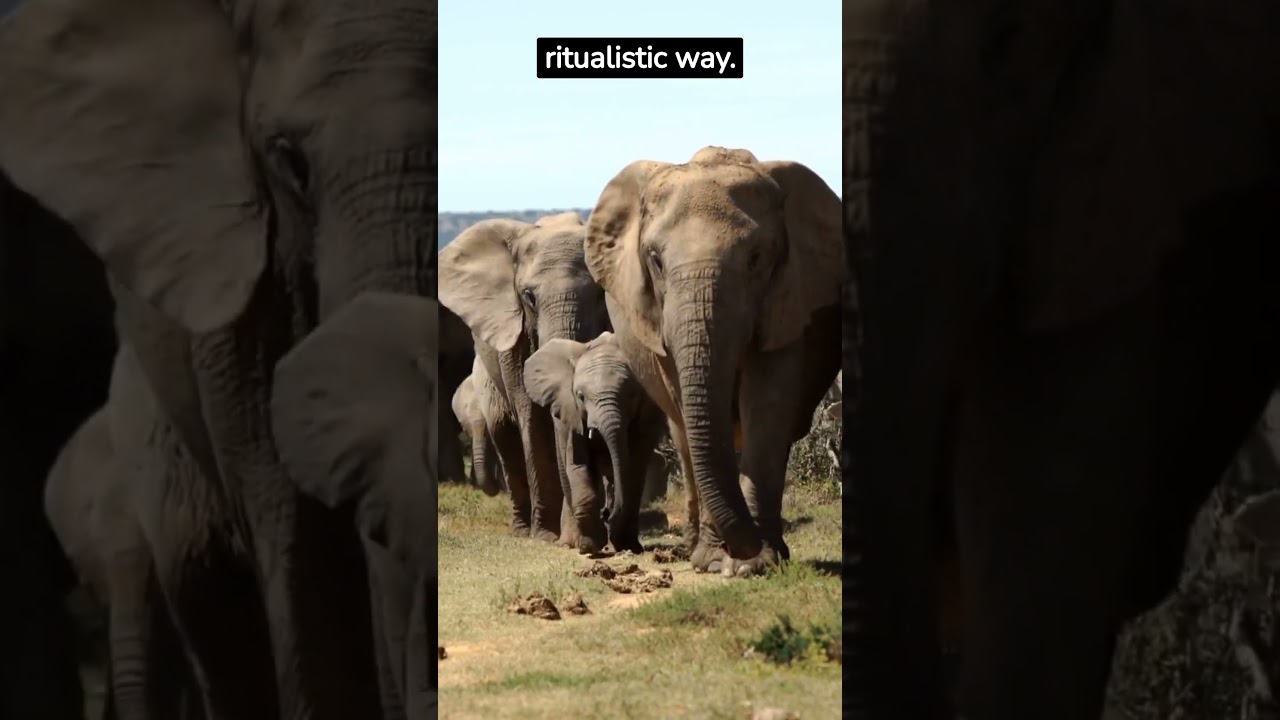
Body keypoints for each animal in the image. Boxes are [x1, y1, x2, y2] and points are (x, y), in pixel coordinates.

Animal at [525, 331, 669, 554]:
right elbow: (577, 464)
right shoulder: (571, 414)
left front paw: (621, 544)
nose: (606, 514)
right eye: (580, 396)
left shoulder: (646, 415)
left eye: (632, 395)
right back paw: (572, 543)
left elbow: (633, 469)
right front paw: (589, 546)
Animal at [584, 146, 844, 576]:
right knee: (681, 434)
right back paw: (695, 549)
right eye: (654, 259)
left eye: (757, 258)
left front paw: (757, 563)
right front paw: (716, 562)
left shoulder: (788, 296)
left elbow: (768, 406)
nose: (606, 521)